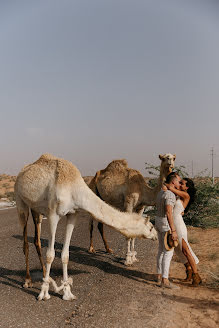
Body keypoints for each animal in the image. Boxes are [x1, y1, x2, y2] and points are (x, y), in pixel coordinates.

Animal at [14, 154, 157, 300]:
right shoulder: (53, 214)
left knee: (36, 239)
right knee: (25, 241)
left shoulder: (73, 214)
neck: (74, 188)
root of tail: (22, 171)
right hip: (21, 201)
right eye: (151, 227)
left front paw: (67, 292)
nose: (156, 236)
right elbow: (50, 254)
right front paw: (43, 293)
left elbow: (65, 254)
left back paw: (43, 274)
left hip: (36, 209)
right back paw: (28, 281)